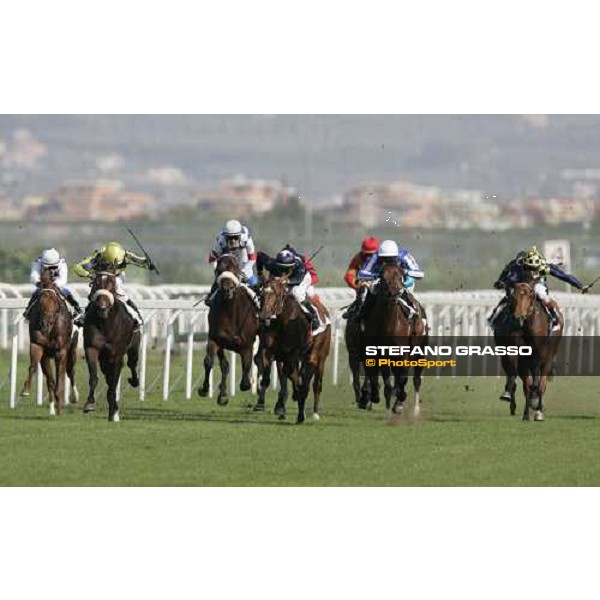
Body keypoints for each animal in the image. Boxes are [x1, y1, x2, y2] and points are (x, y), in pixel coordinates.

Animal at [20, 270, 77, 414]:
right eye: (40, 303)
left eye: (55, 301)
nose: (45, 325)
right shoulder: (39, 346)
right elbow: (34, 367)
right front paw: (25, 390)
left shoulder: (60, 351)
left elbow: (60, 376)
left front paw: (60, 403)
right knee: (50, 379)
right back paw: (52, 407)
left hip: (72, 349)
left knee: (70, 370)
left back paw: (73, 397)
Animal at [82, 272, 141, 422]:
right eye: (95, 283)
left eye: (112, 283)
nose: (102, 307)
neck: (105, 323)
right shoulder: (91, 348)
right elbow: (94, 377)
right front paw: (89, 403)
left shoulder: (116, 354)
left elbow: (113, 383)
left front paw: (113, 411)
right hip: (104, 358)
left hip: (133, 348)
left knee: (131, 364)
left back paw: (134, 381)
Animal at [199, 255, 260, 406]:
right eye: (219, 269)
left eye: (235, 268)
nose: (227, 289)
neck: (230, 312)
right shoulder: (215, 339)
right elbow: (210, 362)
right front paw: (206, 389)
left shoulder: (246, 345)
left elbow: (246, 374)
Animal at [360, 264, 426, 422]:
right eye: (383, 277)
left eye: (401, 275)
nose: (394, 293)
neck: (389, 323)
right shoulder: (380, 353)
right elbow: (387, 383)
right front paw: (387, 410)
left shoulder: (402, 353)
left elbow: (402, 379)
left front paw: (399, 402)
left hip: (419, 353)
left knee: (416, 379)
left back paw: (414, 409)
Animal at [492, 282, 564, 420]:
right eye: (513, 298)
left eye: (528, 297)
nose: (518, 318)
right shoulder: (518, 356)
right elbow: (524, 384)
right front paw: (525, 413)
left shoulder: (541, 355)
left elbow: (538, 383)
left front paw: (537, 407)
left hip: (550, 355)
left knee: (541, 383)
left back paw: (537, 408)